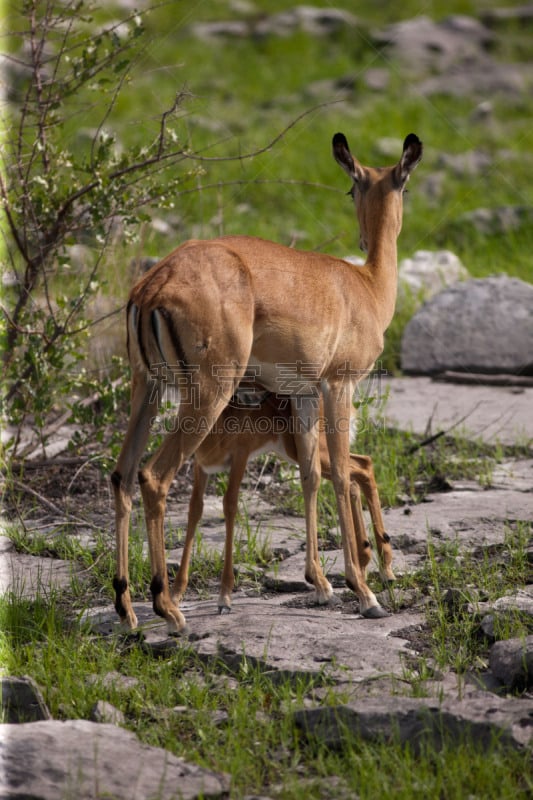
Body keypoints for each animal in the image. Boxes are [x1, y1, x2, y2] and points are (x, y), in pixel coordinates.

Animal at [175, 392, 394, 612]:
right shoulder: (201, 465)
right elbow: (194, 510)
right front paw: (176, 594)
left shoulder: (240, 456)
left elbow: (229, 504)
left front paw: (224, 597)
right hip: (294, 452)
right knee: (358, 474)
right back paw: (367, 563)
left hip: (314, 452)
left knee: (363, 467)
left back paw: (382, 573)